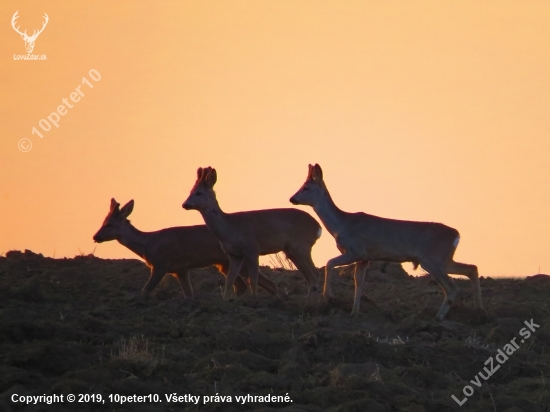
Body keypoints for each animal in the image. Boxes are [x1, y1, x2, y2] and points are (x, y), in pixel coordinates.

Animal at [93, 197, 280, 298]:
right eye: (103, 222)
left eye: (109, 224)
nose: (95, 237)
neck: (147, 244)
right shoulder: (180, 270)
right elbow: (189, 295)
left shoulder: (160, 265)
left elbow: (144, 290)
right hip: (225, 264)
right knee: (246, 285)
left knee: (267, 283)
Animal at [183, 167, 324, 300]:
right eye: (190, 192)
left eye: (198, 193)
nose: (184, 204)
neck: (229, 228)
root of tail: (318, 227)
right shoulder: (234, 255)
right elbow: (229, 281)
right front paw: (226, 299)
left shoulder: (253, 249)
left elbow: (253, 279)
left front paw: (254, 298)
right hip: (291, 251)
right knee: (309, 276)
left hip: (301, 246)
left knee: (315, 274)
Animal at [292, 163, 486, 320]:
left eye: (306, 187)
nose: (292, 198)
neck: (342, 225)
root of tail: (456, 234)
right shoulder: (365, 257)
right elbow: (358, 281)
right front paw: (354, 312)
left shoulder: (356, 250)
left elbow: (329, 263)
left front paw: (330, 297)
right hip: (443, 259)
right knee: (472, 268)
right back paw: (479, 310)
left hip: (432, 259)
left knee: (452, 286)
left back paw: (439, 317)